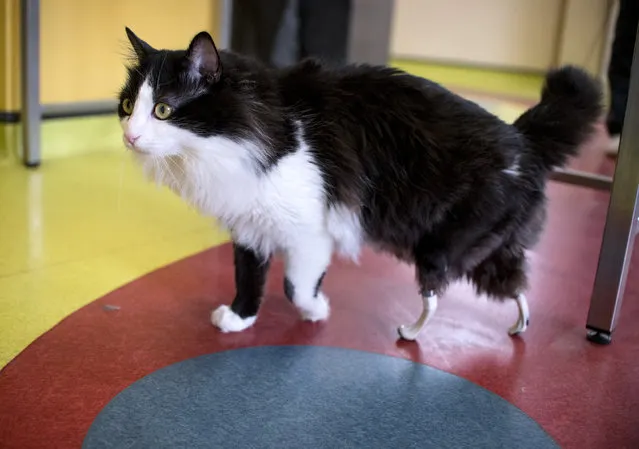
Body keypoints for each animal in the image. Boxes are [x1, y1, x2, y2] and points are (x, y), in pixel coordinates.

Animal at [117, 28, 604, 342]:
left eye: (163, 110)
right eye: (126, 106)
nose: (129, 136)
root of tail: (523, 139)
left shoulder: (310, 231)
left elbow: (295, 285)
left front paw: (316, 311)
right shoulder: (250, 225)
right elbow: (248, 278)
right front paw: (240, 318)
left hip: (439, 247)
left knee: (437, 294)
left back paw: (410, 332)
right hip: (485, 247)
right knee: (515, 284)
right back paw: (518, 325)